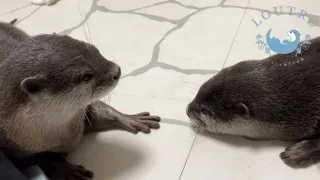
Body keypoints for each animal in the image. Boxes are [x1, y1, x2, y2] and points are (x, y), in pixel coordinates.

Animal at [0, 20, 160, 179]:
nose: (117, 70)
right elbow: (40, 158)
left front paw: (132, 118)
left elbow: (101, 110)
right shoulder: (11, 148)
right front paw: (67, 170)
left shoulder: (80, 117)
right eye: (86, 76)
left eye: (95, 50)